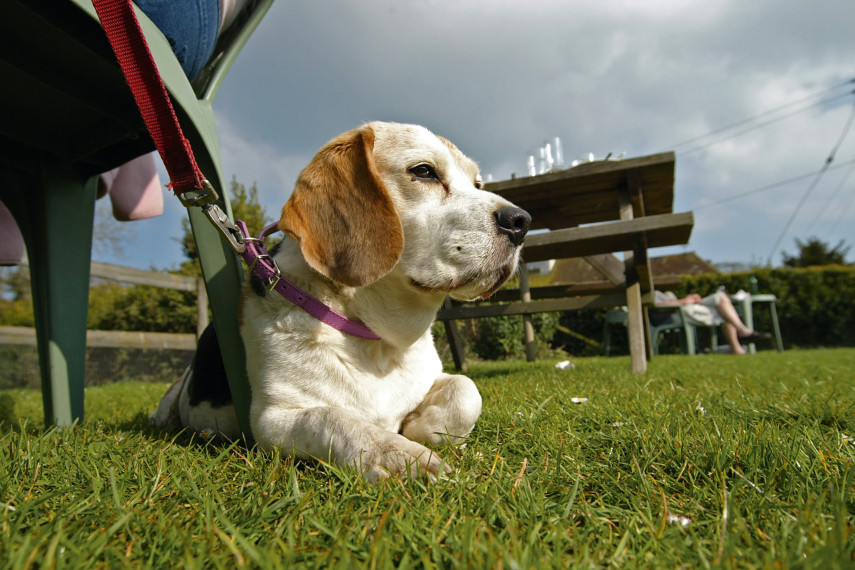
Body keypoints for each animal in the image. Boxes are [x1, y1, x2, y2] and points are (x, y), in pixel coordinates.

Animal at [150, 121, 532, 480]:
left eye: (477, 183)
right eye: (424, 171)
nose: (521, 222)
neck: (376, 343)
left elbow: (466, 389)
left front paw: (422, 426)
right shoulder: (271, 421)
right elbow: (330, 417)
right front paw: (399, 455)